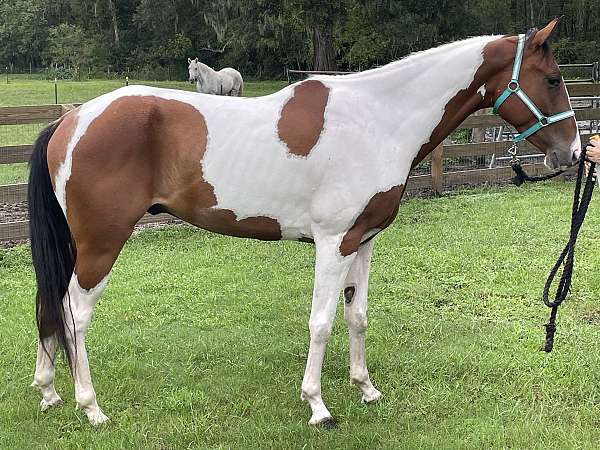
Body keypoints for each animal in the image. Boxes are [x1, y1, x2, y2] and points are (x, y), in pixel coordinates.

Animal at [29, 20, 580, 426]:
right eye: (553, 80)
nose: (573, 152)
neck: (377, 121)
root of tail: (71, 120)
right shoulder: (333, 243)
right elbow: (322, 322)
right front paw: (317, 405)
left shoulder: (363, 241)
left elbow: (357, 317)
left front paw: (365, 388)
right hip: (101, 245)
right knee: (74, 313)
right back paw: (90, 408)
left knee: (50, 304)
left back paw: (49, 393)